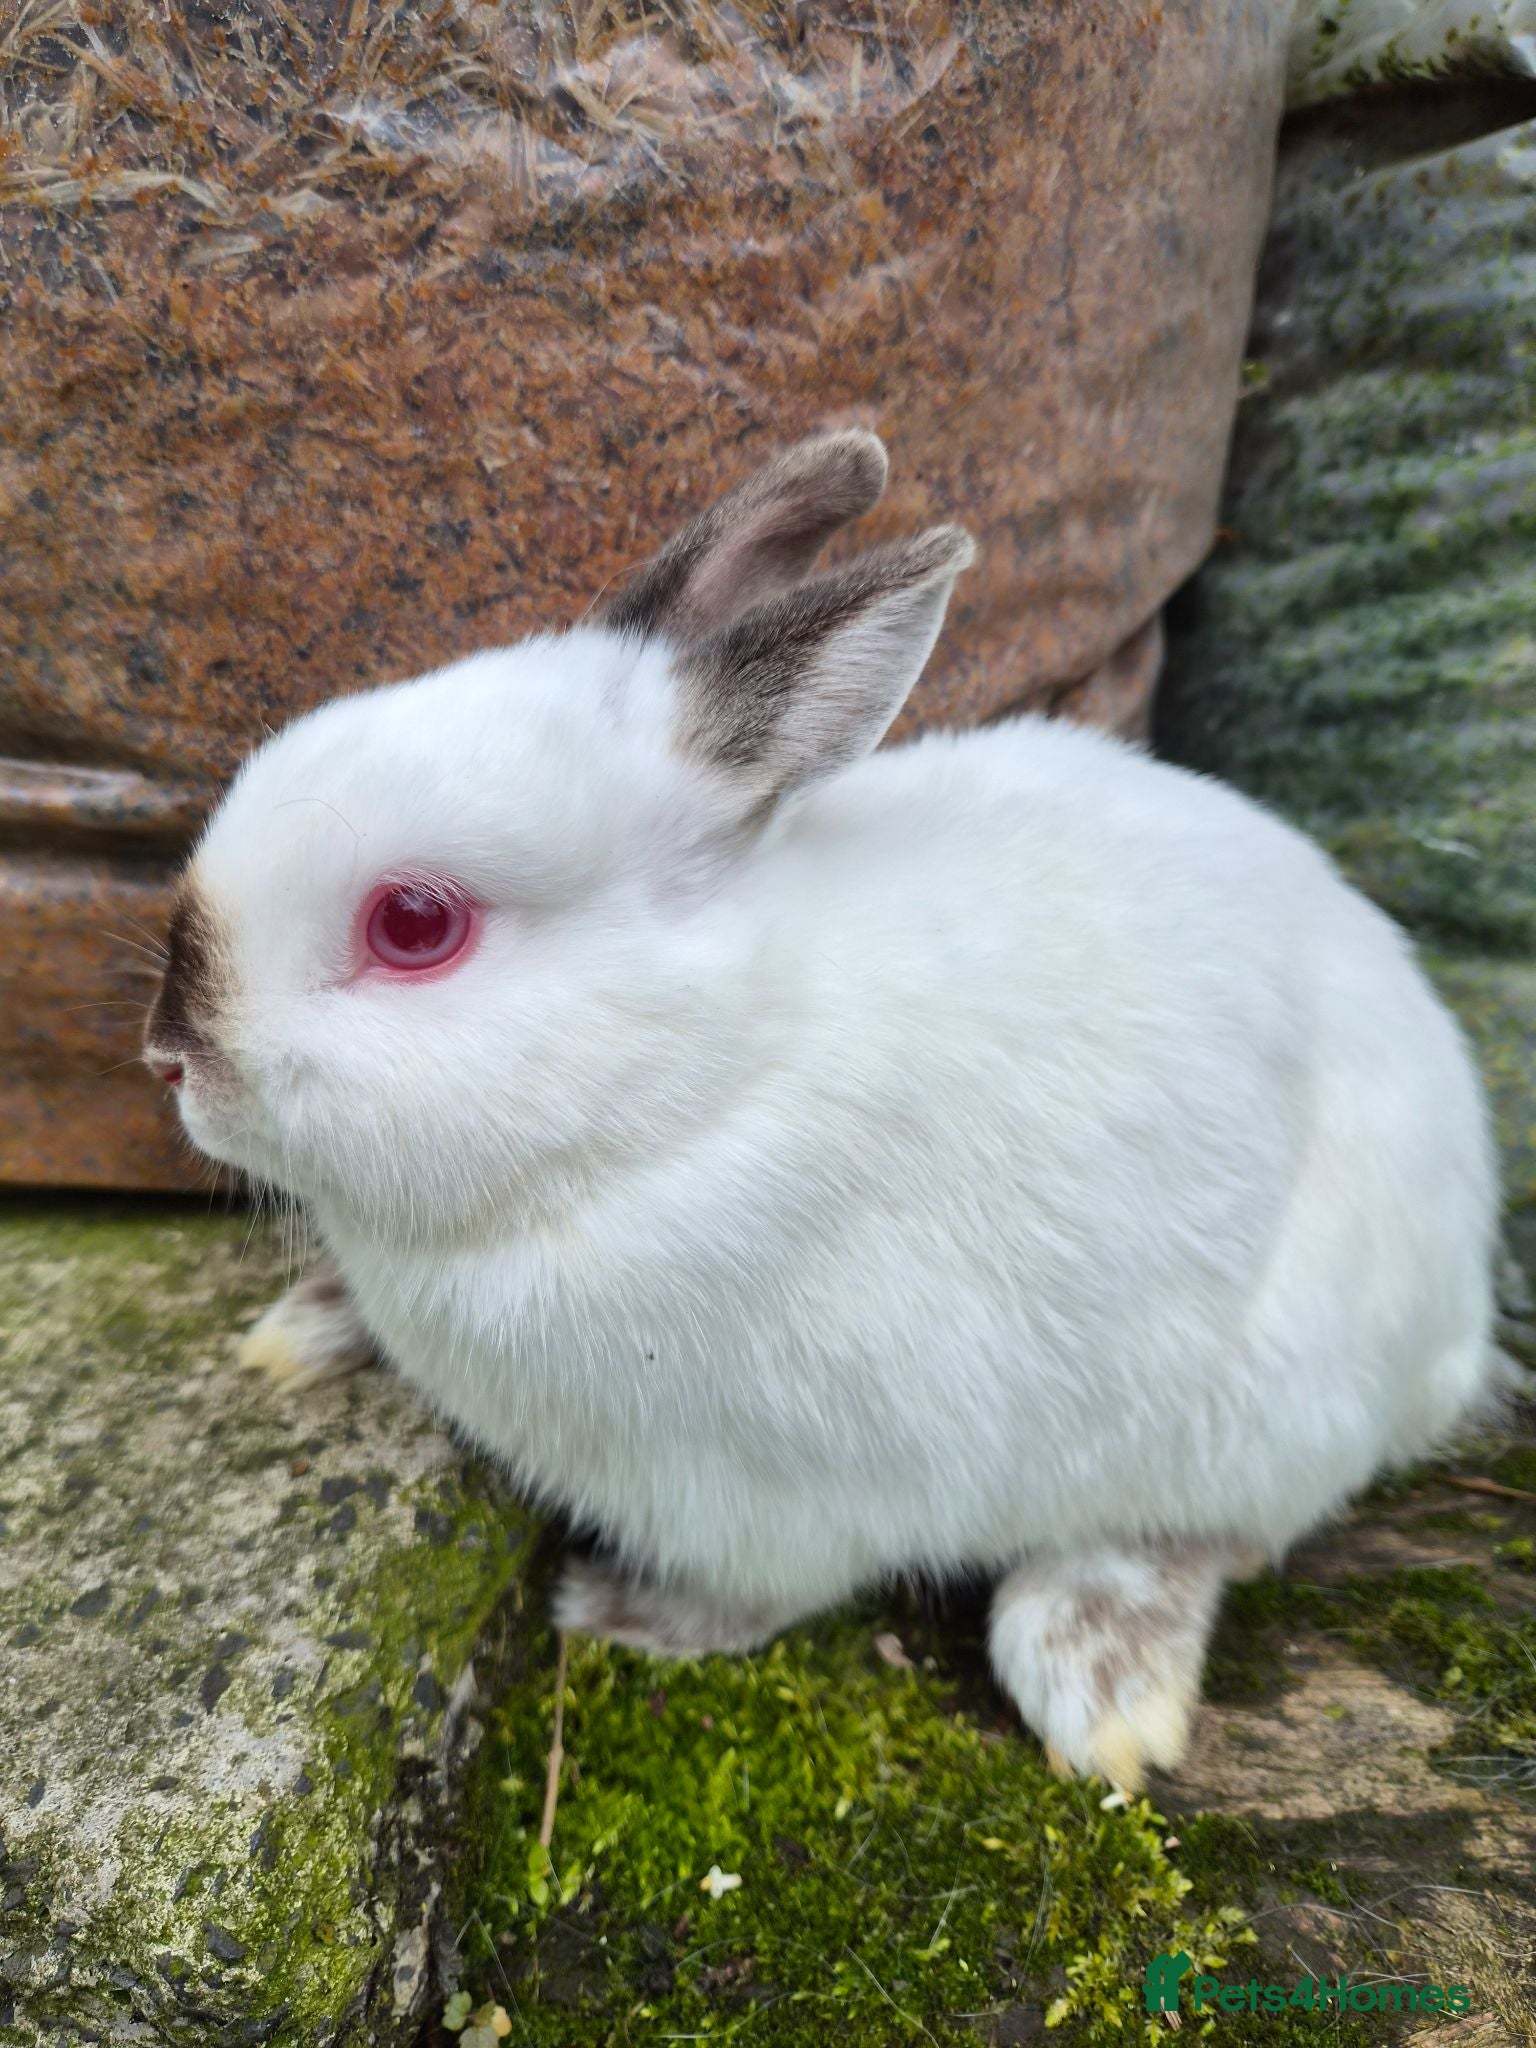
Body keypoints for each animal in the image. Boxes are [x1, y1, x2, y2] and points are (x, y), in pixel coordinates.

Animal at [144, 430, 1501, 1790]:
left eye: (416, 924)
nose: (169, 1055)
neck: (692, 1086)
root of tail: (1461, 1310)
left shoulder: (784, 1493)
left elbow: (762, 1598)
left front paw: (617, 1612)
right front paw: (304, 1327)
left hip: (1266, 1401)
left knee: (1206, 1532)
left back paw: (1100, 1684)